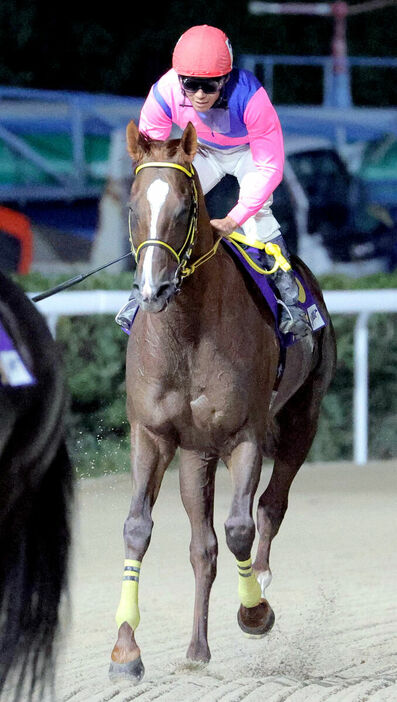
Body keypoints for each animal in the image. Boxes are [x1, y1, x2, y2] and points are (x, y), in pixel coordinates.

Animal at [110, 122, 336, 688]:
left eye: (185, 208)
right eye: (133, 207)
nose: (154, 289)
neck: (186, 330)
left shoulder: (245, 434)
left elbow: (240, 527)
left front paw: (255, 612)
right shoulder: (153, 434)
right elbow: (139, 529)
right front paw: (125, 650)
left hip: (302, 419)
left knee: (270, 507)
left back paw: (261, 579)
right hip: (196, 455)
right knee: (202, 547)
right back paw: (196, 648)